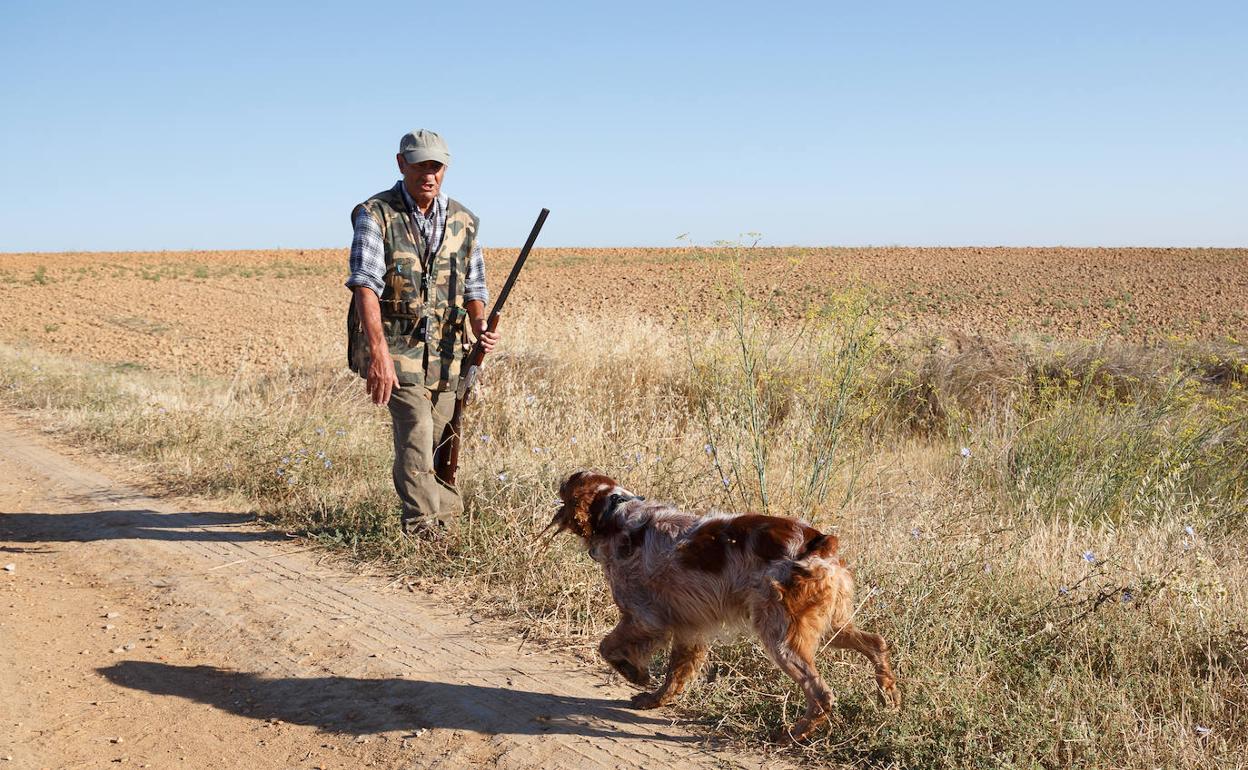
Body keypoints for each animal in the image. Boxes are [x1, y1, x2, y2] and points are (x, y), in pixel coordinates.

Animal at [546, 469, 898, 738]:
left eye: (565, 489)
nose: (556, 486)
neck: (618, 513)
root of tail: (822, 544)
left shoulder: (644, 617)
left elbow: (607, 647)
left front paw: (635, 673)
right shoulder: (688, 628)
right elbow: (675, 673)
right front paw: (654, 700)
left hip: (781, 637)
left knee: (821, 692)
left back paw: (792, 734)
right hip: (830, 627)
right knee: (876, 643)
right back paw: (889, 699)